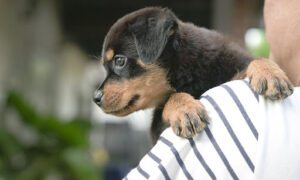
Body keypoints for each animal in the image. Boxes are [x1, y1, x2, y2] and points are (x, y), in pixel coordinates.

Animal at [93, 7, 292, 144]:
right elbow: (170, 98)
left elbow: (254, 60)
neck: (190, 73)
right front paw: (185, 110)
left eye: (119, 61)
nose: (95, 98)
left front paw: (270, 74)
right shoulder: (157, 129)